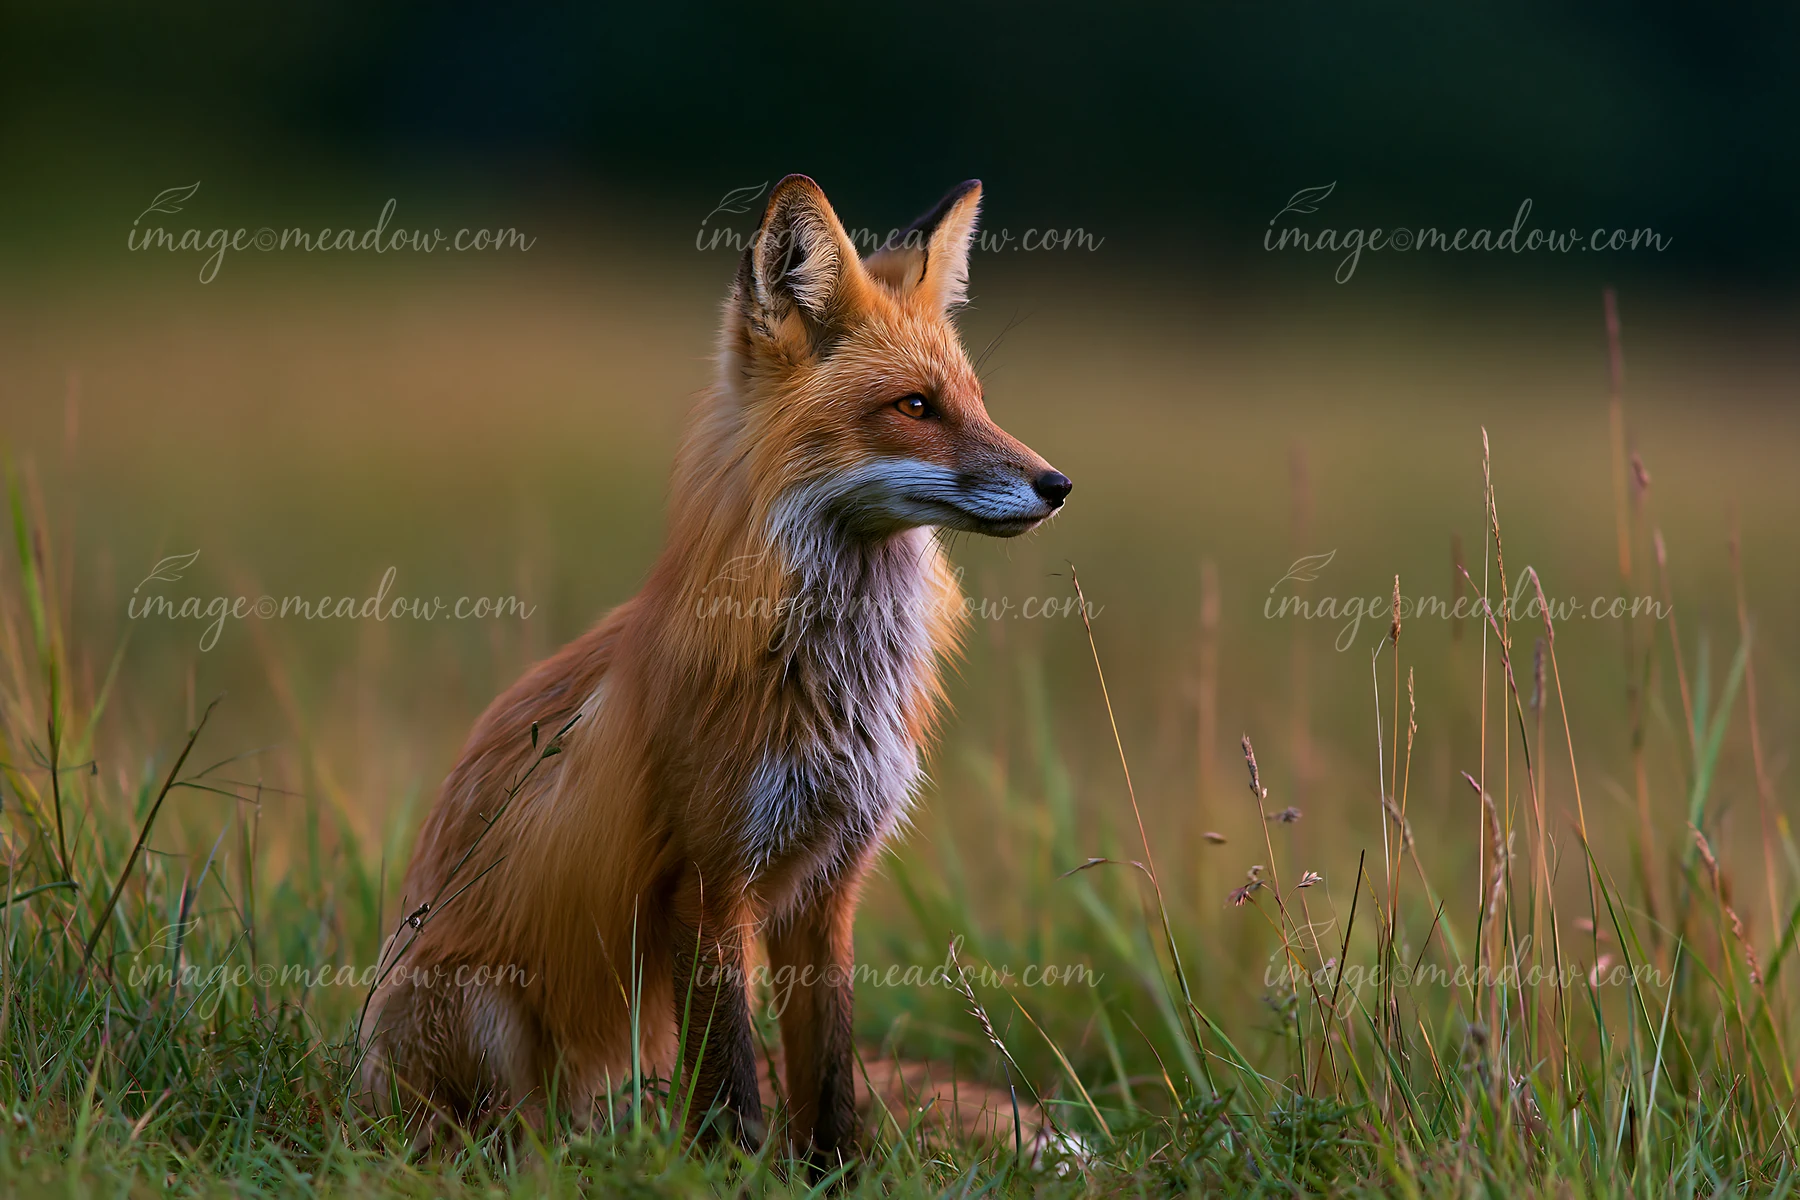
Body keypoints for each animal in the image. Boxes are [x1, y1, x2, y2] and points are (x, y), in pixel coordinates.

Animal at [359, 175, 1072, 1160]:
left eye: (976, 400)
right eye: (916, 407)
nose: (1057, 485)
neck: (832, 683)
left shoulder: (829, 886)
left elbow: (829, 1076)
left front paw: (831, 1174)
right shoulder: (705, 881)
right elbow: (736, 1085)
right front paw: (730, 1171)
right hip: (481, 1009)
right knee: (517, 1132)